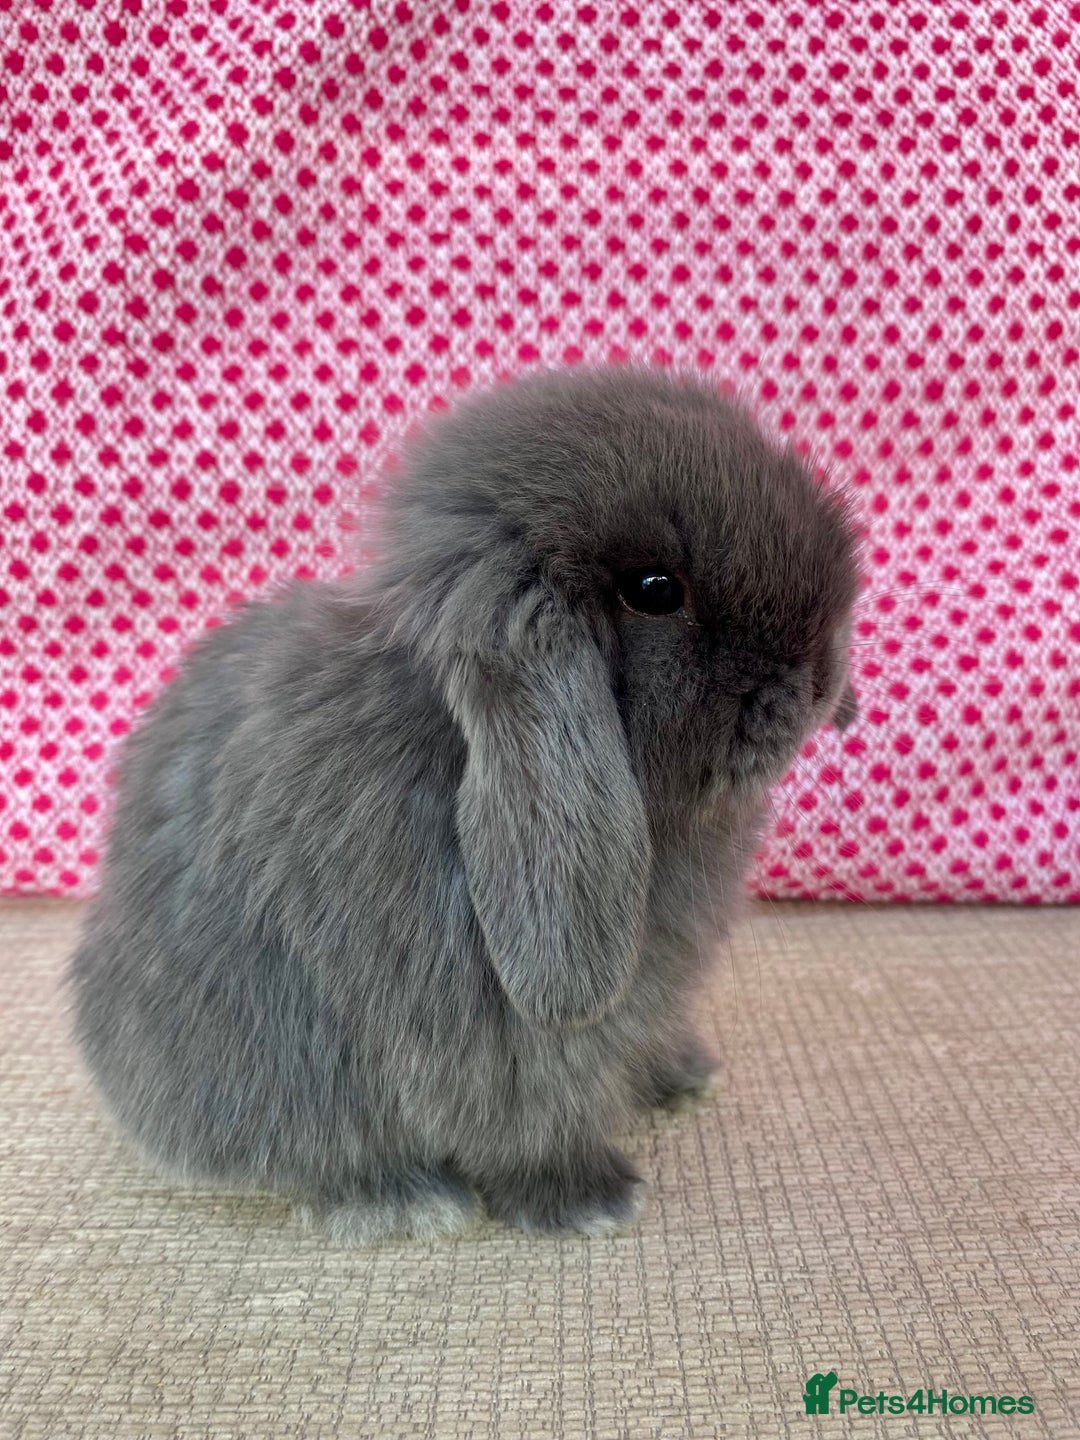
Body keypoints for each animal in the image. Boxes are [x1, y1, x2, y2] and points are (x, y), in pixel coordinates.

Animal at [69, 365, 860, 1244]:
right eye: (654, 590)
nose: (821, 680)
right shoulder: (499, 1046)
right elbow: (524, 1124)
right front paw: (588, 1201)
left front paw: (682, 1075)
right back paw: (400, 1200)